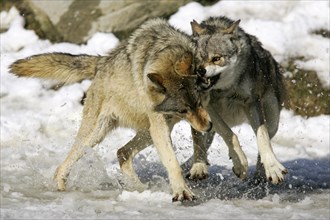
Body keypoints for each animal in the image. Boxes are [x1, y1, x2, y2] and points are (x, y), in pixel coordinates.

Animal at [10, 18, 213, 201]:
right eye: (182, 110)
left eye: (199, 103)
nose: (208, 126)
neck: (167, 50)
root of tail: (102, 62)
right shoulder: (160, 126)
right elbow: (173, 163)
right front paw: (182, 192)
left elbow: (198, 140)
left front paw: (199, 166)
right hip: (97, 135)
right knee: (66, 164)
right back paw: (61, 188)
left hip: (149, 132)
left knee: (122, 153)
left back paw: (140, 189)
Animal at [188, 15, 288, 184]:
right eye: (197, 59)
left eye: (216, 58)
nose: (200, 71)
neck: (224, 90)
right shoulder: (207, 107)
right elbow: (229, 134)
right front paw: (240, 164)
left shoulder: (251, 103)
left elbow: (262, 137)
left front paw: (273, 168)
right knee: (200, 142)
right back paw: (197, 167)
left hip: (273, 119)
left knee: (266, 138)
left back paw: (260, 176)